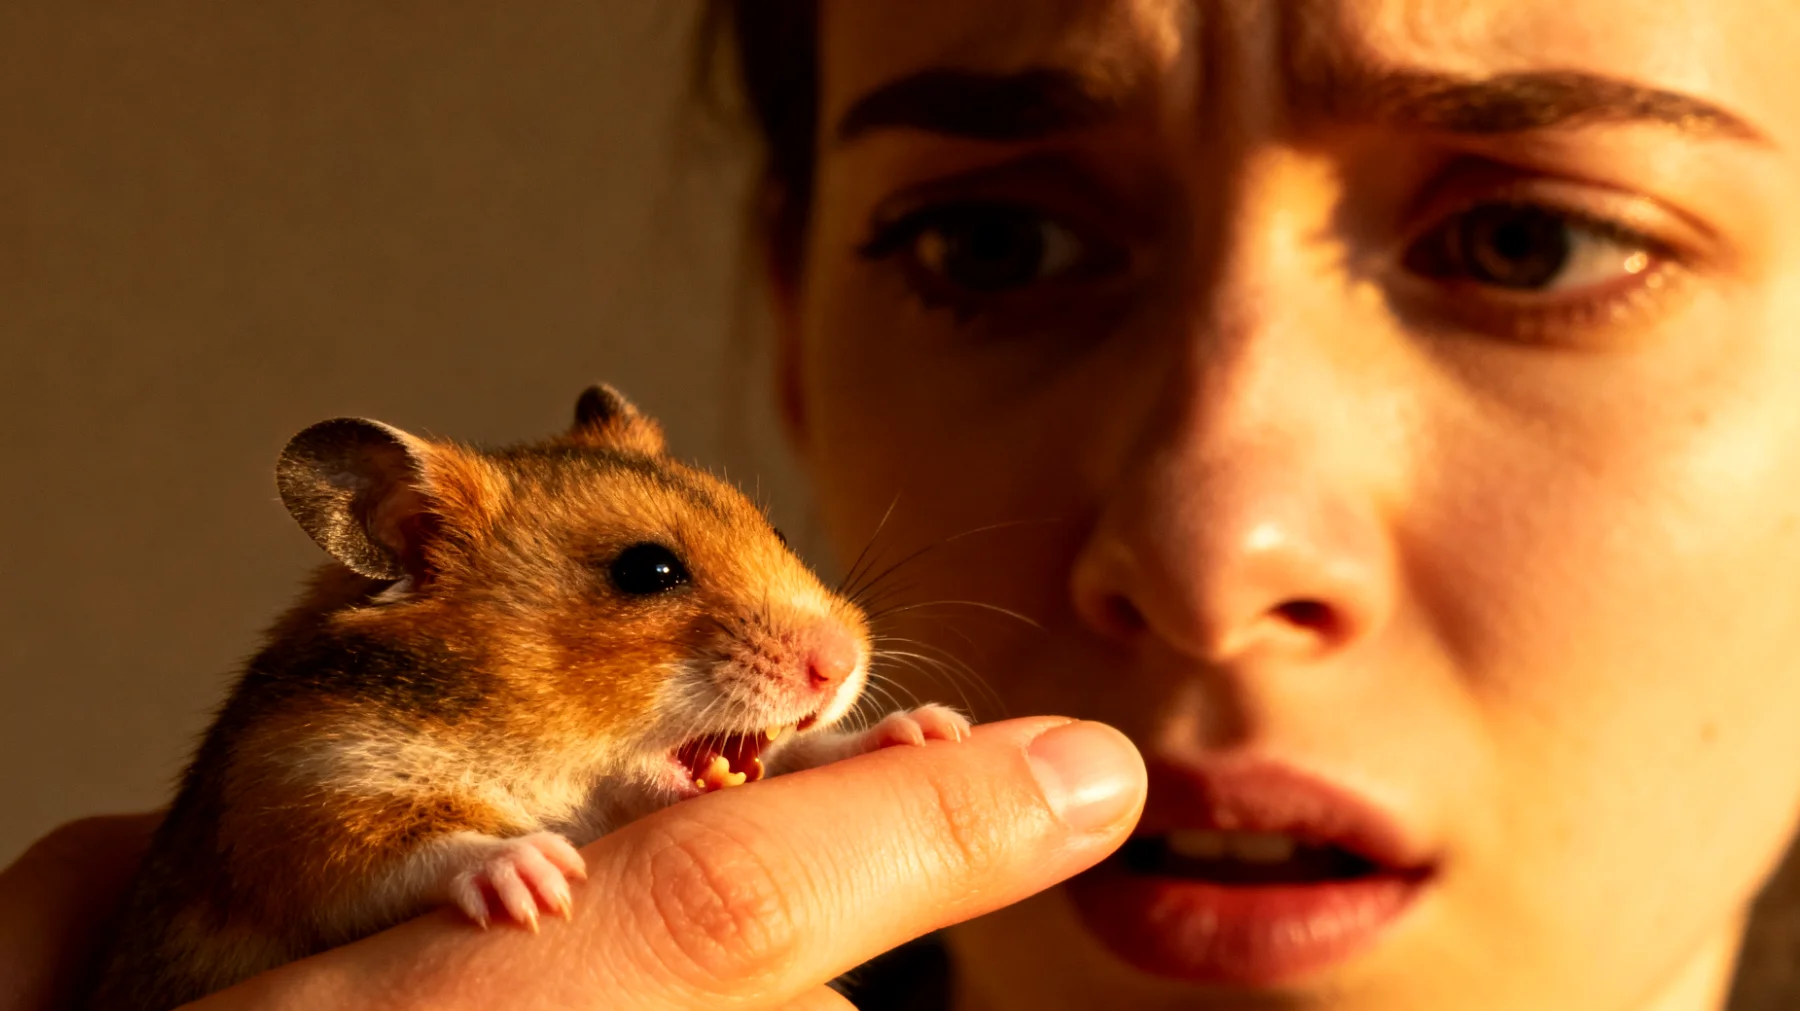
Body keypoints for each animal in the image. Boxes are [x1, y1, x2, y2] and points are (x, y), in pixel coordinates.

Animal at [78, 385, 970, 1011]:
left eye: (777, 532)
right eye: (647, 570)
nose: (843, 663)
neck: (524, 741)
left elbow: (797, 753)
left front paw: (927, 729)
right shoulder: (296, 804)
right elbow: (404, 849)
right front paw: (537, 873)